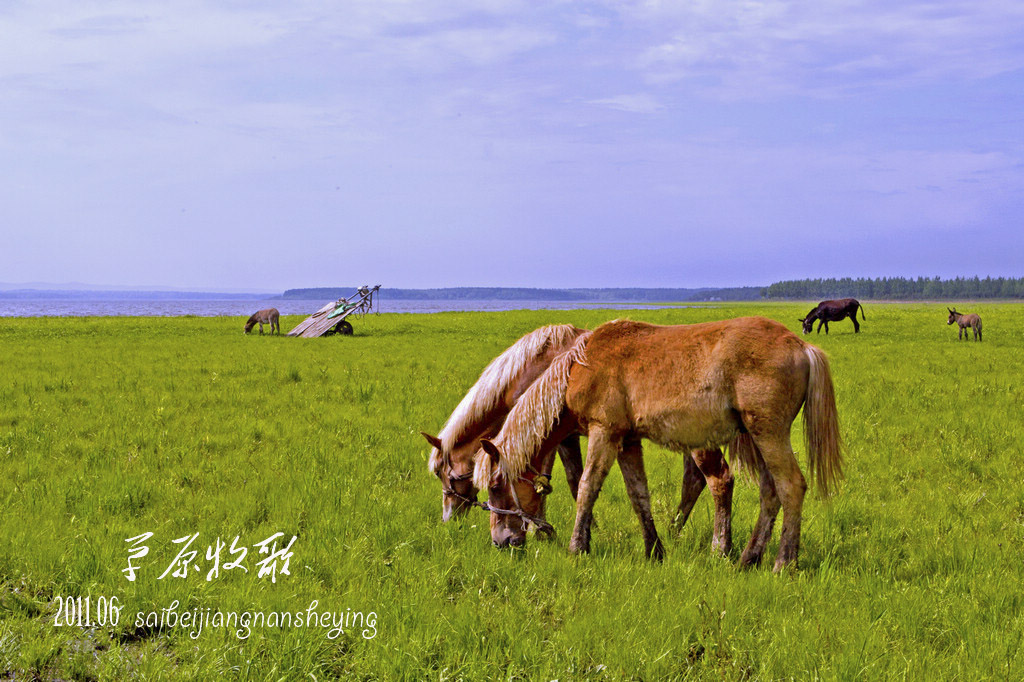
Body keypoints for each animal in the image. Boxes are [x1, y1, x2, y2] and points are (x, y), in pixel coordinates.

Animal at [475, 315, 843, 569]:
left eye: (495, 486)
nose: (500, 542)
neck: (580, 367)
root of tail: (801, 346)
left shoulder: (604, 432)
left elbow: (586, 487)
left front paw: (578, 547)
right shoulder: (627, 441)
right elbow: (639, 495)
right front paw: (655, 550)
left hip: (768, 433)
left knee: (790, 486)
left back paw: (783, 562)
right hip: (757, 436)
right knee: (770, 491)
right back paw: (748, 558)